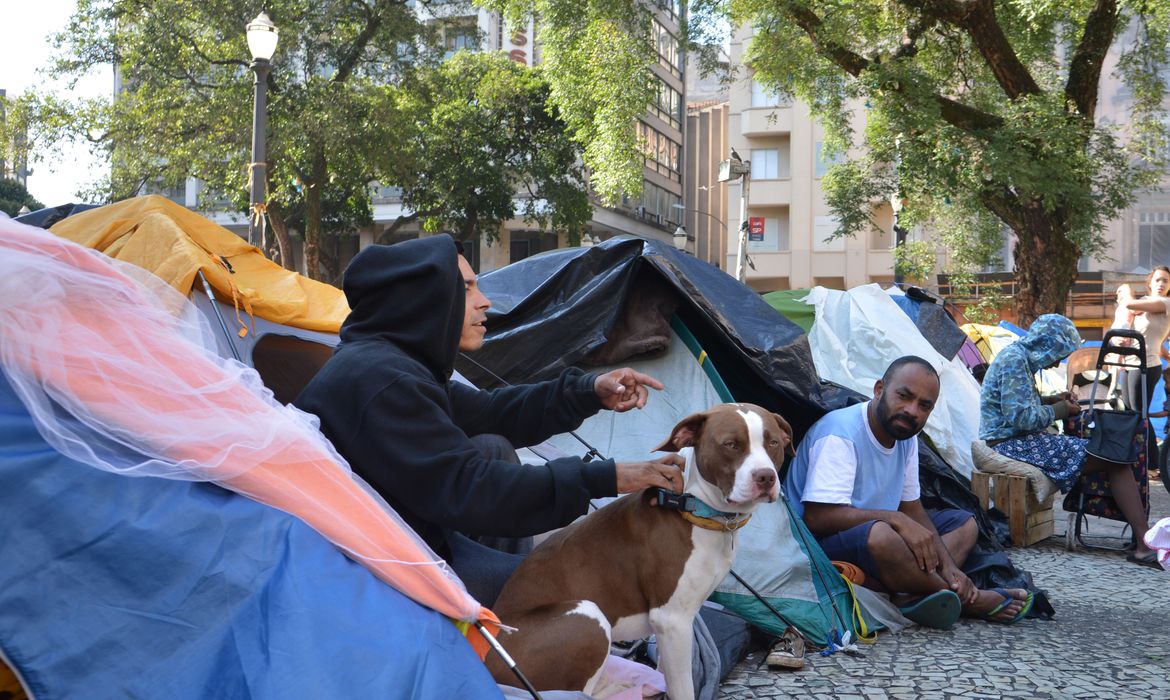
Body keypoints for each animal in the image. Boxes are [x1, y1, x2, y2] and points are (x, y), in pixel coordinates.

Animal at [484, 405, 795, 700]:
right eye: (730, 444)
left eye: (773, 443)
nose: (766, 477)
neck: (695, 508)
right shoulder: (672, 619)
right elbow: (683, 689)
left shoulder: (677, 623)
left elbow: (669, 674)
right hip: (588, 616)